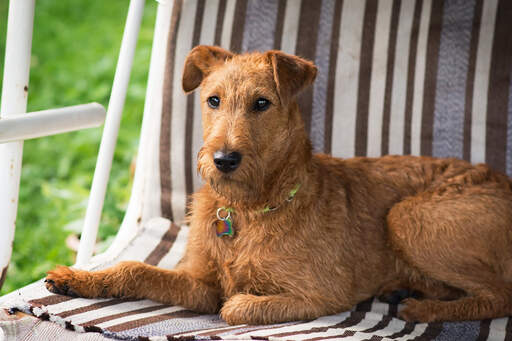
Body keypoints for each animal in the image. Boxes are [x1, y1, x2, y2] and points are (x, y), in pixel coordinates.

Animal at [45, 45, 512, 324]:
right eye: (213, 100)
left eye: (262, 103)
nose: (224, 160)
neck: (249, 209)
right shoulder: (200, 283)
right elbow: (136, 269)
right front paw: (76, 278)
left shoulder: (323, 295)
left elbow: (234, 307)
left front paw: (243, 301)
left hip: (407, 216)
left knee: (500, 295)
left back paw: (422, 307)